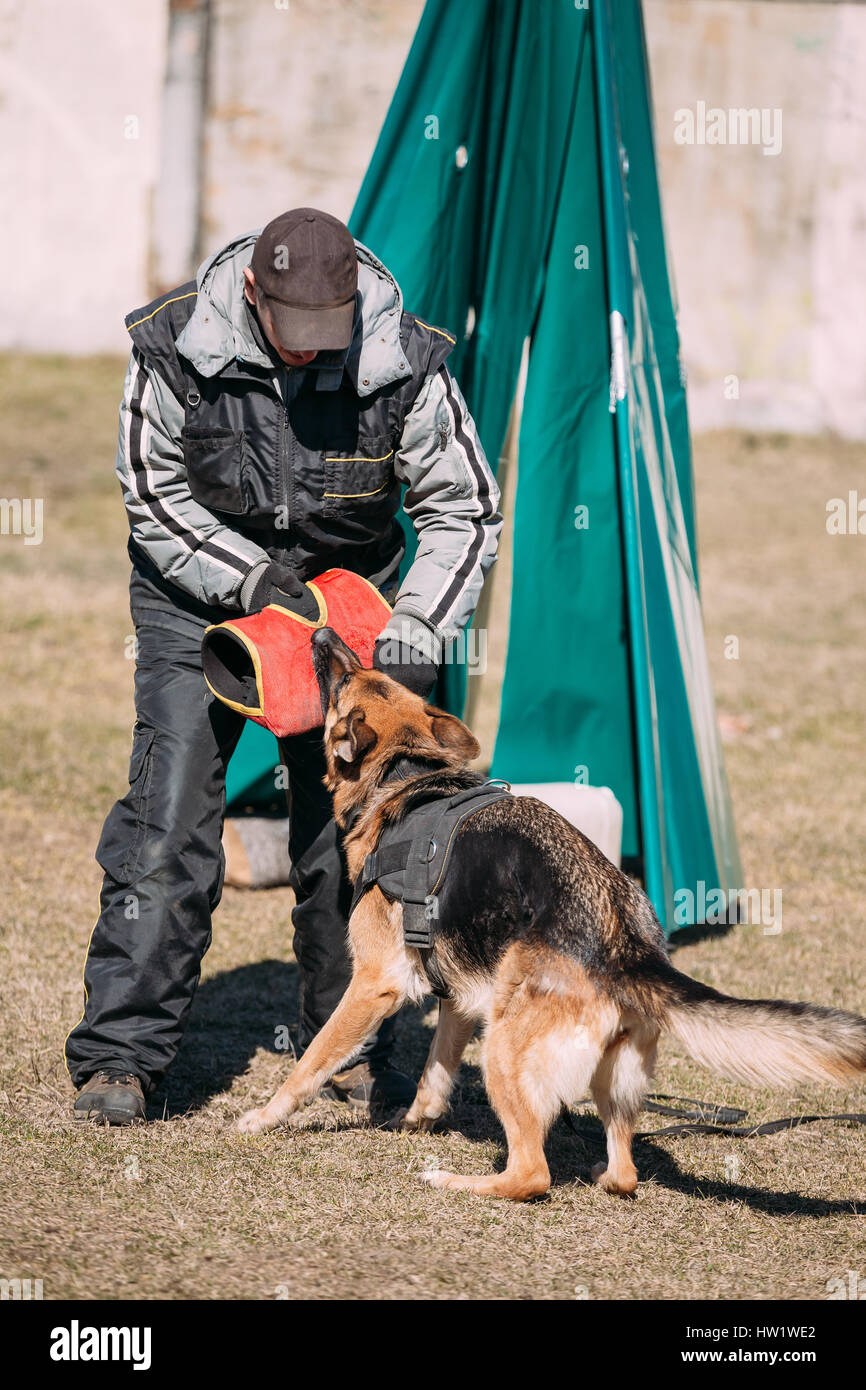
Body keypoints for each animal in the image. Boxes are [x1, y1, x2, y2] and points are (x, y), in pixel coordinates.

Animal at [234, 625, 866, 1200]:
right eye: (365, 673)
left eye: (343, 682)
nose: (322, 632)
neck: (405, 778)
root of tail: (623, 942)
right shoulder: (459, 996)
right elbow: (435, 1071)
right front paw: (416, 1119)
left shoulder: (373, 984)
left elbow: (312, 1061)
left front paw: (262, 1118)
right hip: (600, 1071)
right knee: (624, 1172)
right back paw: (597, 1173)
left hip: (502, 1050)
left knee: (532, 1174)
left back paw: (456, 1181)